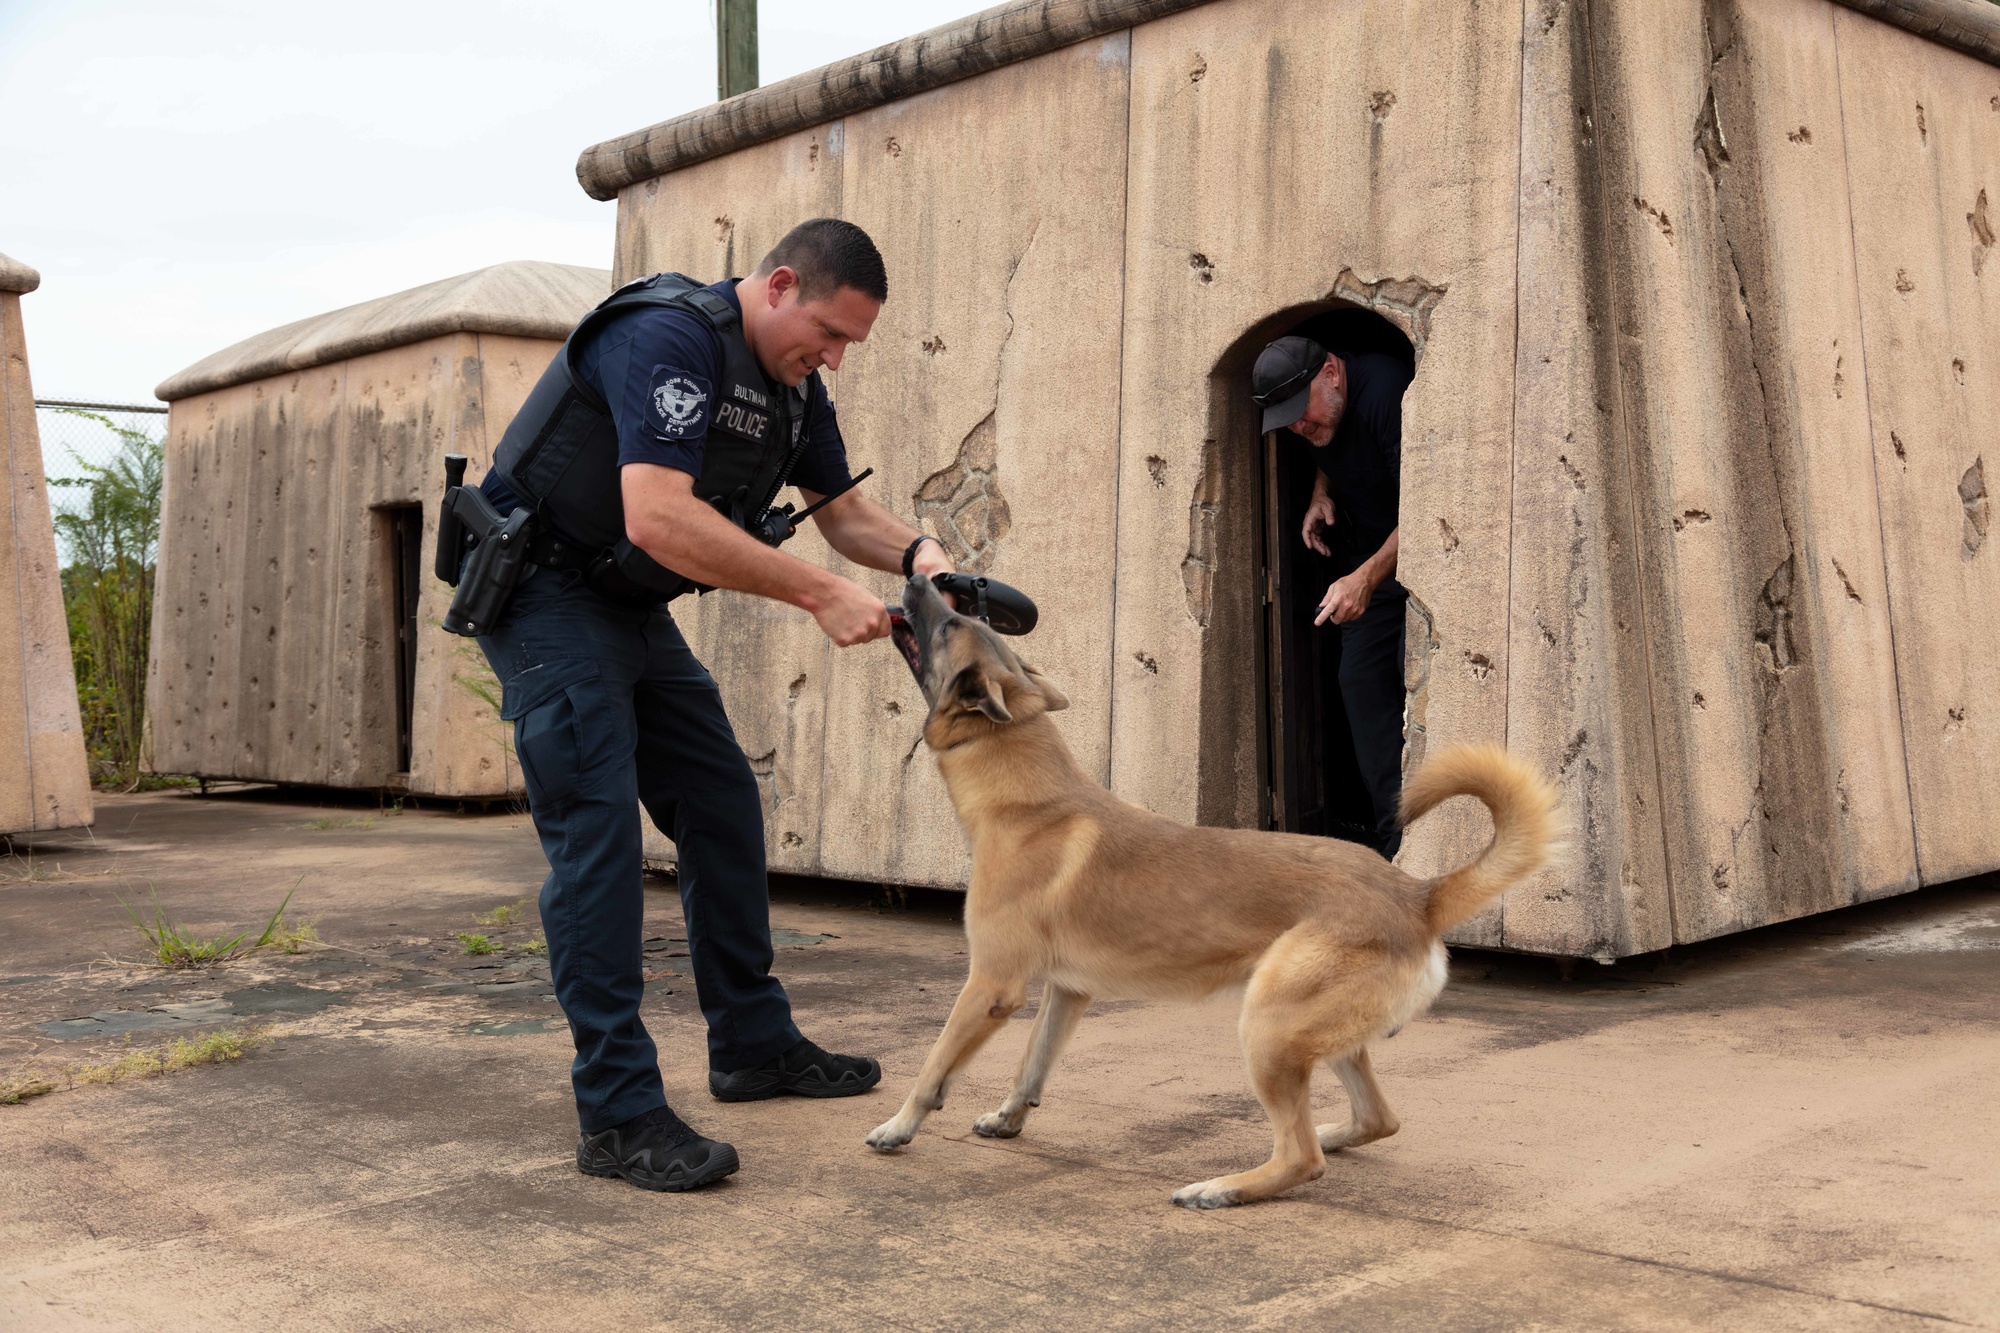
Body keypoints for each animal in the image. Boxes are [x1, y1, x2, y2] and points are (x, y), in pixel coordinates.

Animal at [864, 572, 1560, 1200]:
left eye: (950, 625)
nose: (920, 574)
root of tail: (1416, 897)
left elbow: (932, 1067)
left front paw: (899, 1127)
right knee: (1376, 1119)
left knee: (1301, 1158)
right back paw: (1331, 1132)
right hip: (1315, 1034)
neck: (1026, 792)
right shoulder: (1067, 992)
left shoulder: (991, 987)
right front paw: (1009, 1118)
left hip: (1268, 1026)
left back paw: (1224, 1187)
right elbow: (1031, 1066)